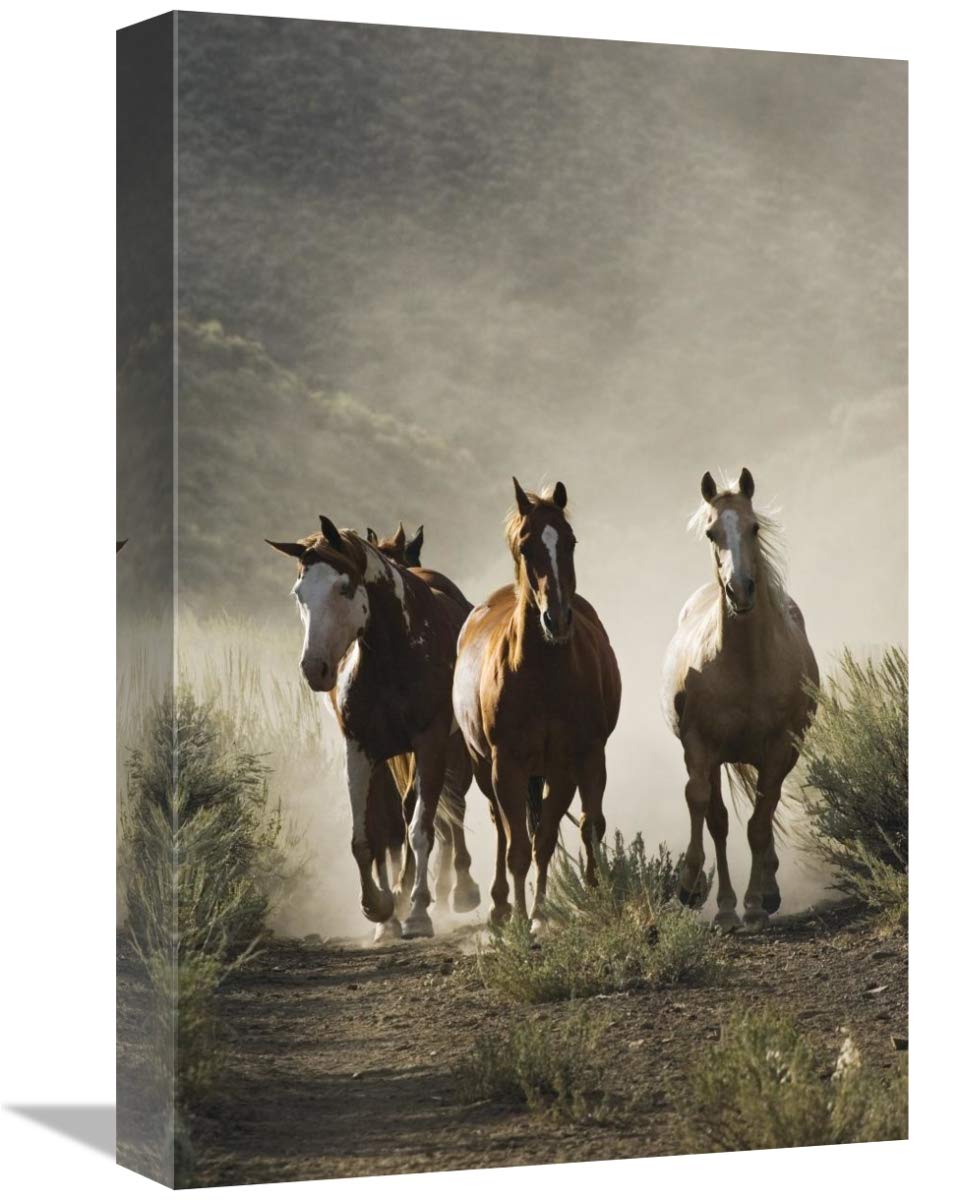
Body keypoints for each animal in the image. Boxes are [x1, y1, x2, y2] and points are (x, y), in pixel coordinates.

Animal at [267, 517, 480, 939]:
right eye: (299, 593)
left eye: (343, 588)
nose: (314, 669)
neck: (393, 655)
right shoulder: (361, 750)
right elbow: (368, 836)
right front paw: (379, 907)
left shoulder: (430, 745)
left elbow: (420, 828)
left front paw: (417, 911)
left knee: (443, 813)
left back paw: (458, 890)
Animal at [453, 479, 621, 934]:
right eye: (526, 547)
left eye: (570, 541)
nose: (557, 619)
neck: (543, 674)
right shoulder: (505, 764)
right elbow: (517, 848)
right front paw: (518, 918)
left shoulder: (572, 761)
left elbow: (551, 837)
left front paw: (545, 915)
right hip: (483, 768)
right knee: (501, 829)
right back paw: (499, 906)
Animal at [661, 468, 819, 930]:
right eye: (712, 532)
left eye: (754, 527)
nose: (740, 591)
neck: (745, 666)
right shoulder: (700, 747)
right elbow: (704, 808)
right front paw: (693, 886)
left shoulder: (779, 749)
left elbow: (759, 824)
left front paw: (756, 902)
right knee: (720, 819)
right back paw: (726, 906)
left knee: (765, 810)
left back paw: (765, 890)